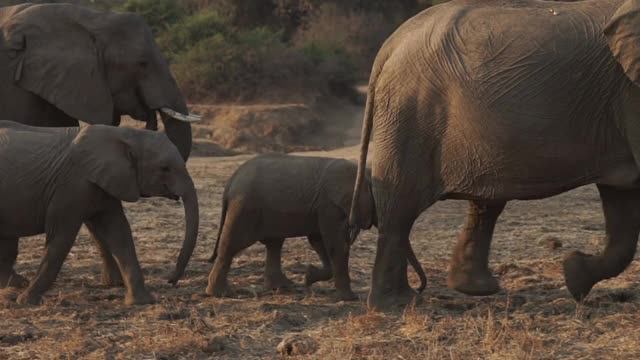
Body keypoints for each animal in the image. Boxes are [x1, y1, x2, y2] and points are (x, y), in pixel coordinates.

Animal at [0, 120, 199, 304]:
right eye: (165, 168)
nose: (170, 281)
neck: (126, 135)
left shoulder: (106, 183)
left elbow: (119, 233)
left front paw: (141, 301)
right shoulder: (72, 185)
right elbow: (61, 238)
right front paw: (26, 301)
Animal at [205, 153, 424, 300]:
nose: (419, 289)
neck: (364, 173)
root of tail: (230, 182)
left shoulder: (323, 208)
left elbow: (319, 241)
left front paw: (308, 277)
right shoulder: (330, 206)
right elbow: (335, 244)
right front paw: (349, 298)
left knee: (274, 244)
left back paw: (283, 287)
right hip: (245, 208)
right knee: (232, 245)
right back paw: (221, 293)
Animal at [350, 0, 640, 310]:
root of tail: (390, 44)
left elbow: (621, 205)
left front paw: (574, 275)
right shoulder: (630, 94)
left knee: (485, 202)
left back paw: (474, 288)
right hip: (410, 112)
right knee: (399, 208)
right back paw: (396, 304)